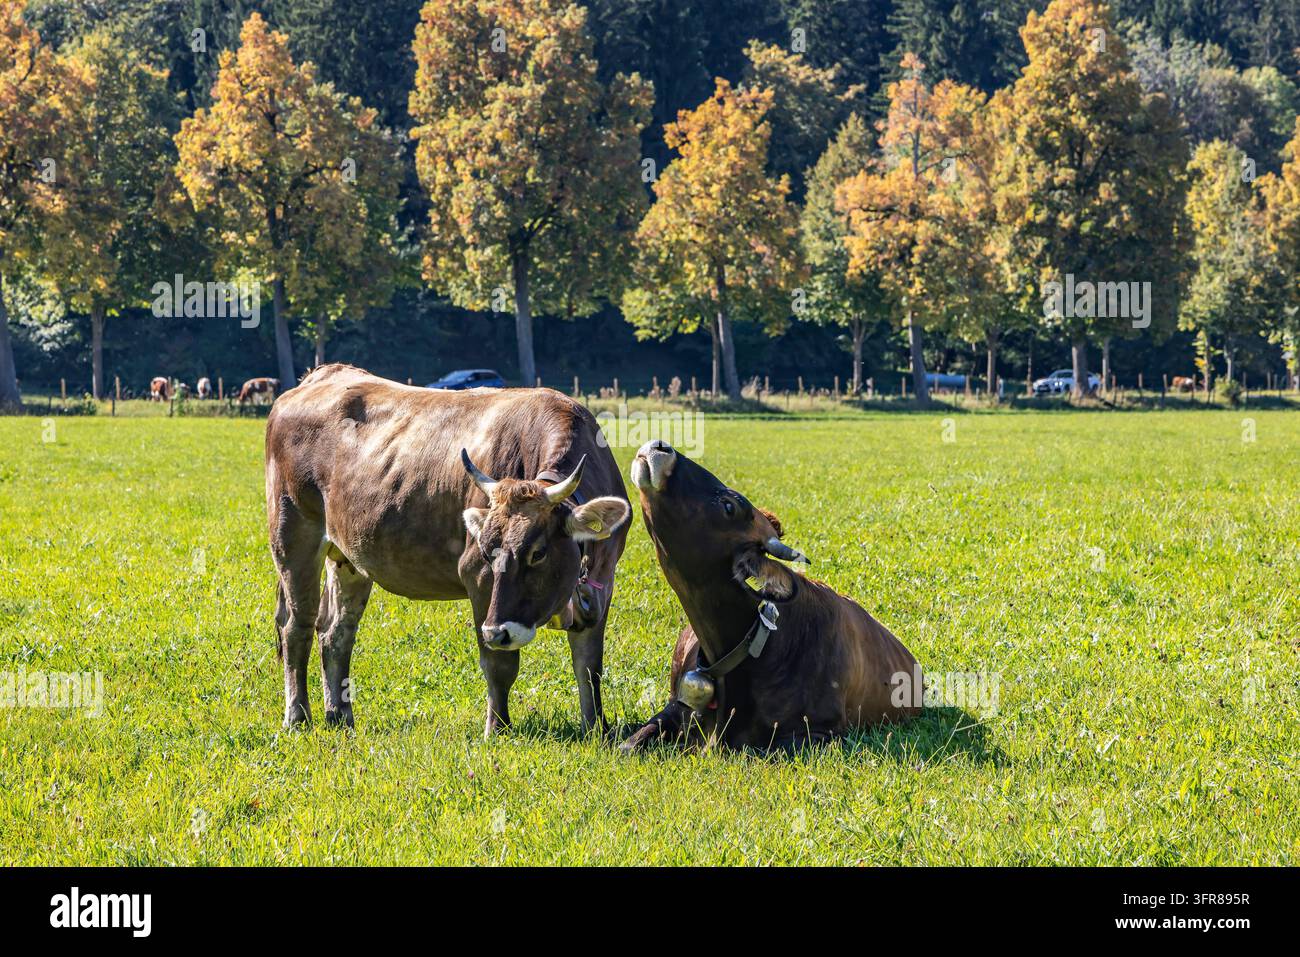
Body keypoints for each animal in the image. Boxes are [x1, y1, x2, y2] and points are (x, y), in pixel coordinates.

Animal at [264, 363, 632, 734]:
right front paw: (497, 729)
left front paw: (596, 728)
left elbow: (589, 668)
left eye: (538, 552)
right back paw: (297, 715)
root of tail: (323, 375)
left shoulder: (602, 588)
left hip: (348, 558)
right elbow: (499, 665)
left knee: (336, 633)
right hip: (293, 535)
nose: (497, 631)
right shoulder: (478, 579)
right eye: (486, 550)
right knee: (297, 626)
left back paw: (340, 715)